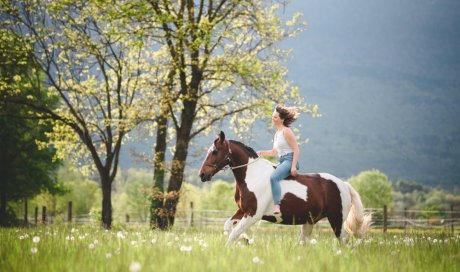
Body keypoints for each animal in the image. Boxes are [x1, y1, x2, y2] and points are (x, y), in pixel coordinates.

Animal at [197, 131, 370, 245]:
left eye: (215, 151)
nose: (202, 175)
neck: (252, 175)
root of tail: (343, 184)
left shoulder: (253, 214)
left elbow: (233, 234)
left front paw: (240, 241)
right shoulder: (242, 211)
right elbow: (227, 227)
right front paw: (244, 239)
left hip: (337, 220)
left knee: (344, 241)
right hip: (309, 222)